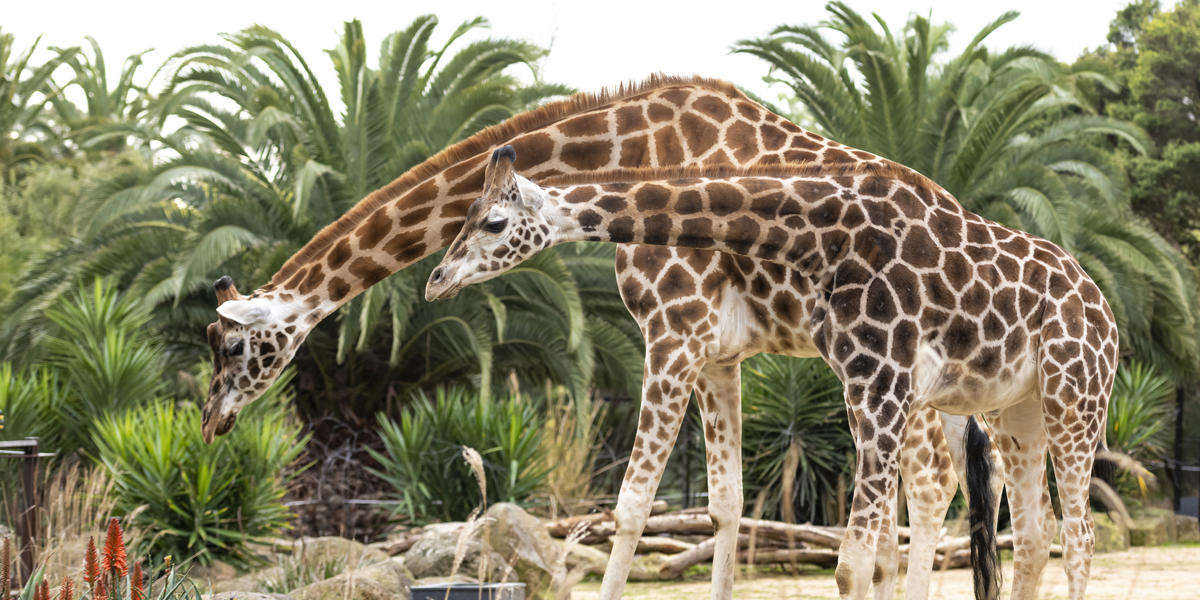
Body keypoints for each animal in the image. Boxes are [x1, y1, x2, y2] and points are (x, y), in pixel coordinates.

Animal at [422, 148, 1113, 600]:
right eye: (466, 215)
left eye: (493, 222)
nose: (436, 280)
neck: (825, 238)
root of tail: (1103, 307)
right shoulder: (852, 385)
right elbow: (748, 516)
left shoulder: (879, 384)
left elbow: (850, 563)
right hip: (1015, 413)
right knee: (1032, 539)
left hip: (1075, 402)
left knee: (1078, 537)